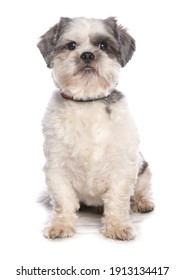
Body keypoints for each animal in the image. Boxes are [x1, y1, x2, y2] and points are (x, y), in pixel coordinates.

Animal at [37, 16, 154, 241]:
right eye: (71, 45)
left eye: (103, 45)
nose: (87, 54)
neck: (87, 101)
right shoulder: (57, 167)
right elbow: (63, 200)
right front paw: (61, 224)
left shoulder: (122, 167)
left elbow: (117, 200)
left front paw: (117, 226)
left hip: (143, 170)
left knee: (142, 190)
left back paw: (142, 202)